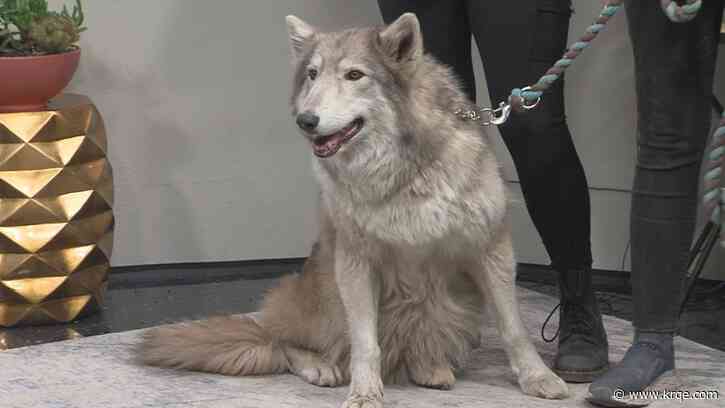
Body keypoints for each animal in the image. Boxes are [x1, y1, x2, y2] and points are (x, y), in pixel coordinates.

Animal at [140, 13, 569, 408]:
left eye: (354, 75)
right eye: (312, 75)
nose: (305, 121)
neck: (405, 170)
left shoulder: (491, 250)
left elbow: (514, 328)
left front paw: (537, 378)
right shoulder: (355, 262)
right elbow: (365, 342)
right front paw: (364, 392)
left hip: (457, 300)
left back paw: (430, 367)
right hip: (325, 294)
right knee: (283, 342)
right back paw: (321, 366)